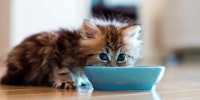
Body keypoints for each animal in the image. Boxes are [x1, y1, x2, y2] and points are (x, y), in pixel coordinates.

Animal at [0, 17, 141, 89]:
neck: (76, 47)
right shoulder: (57, 50)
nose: (112, 68)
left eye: (121, 57)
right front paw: (66, 82)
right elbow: (62, 70)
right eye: (103, 56)